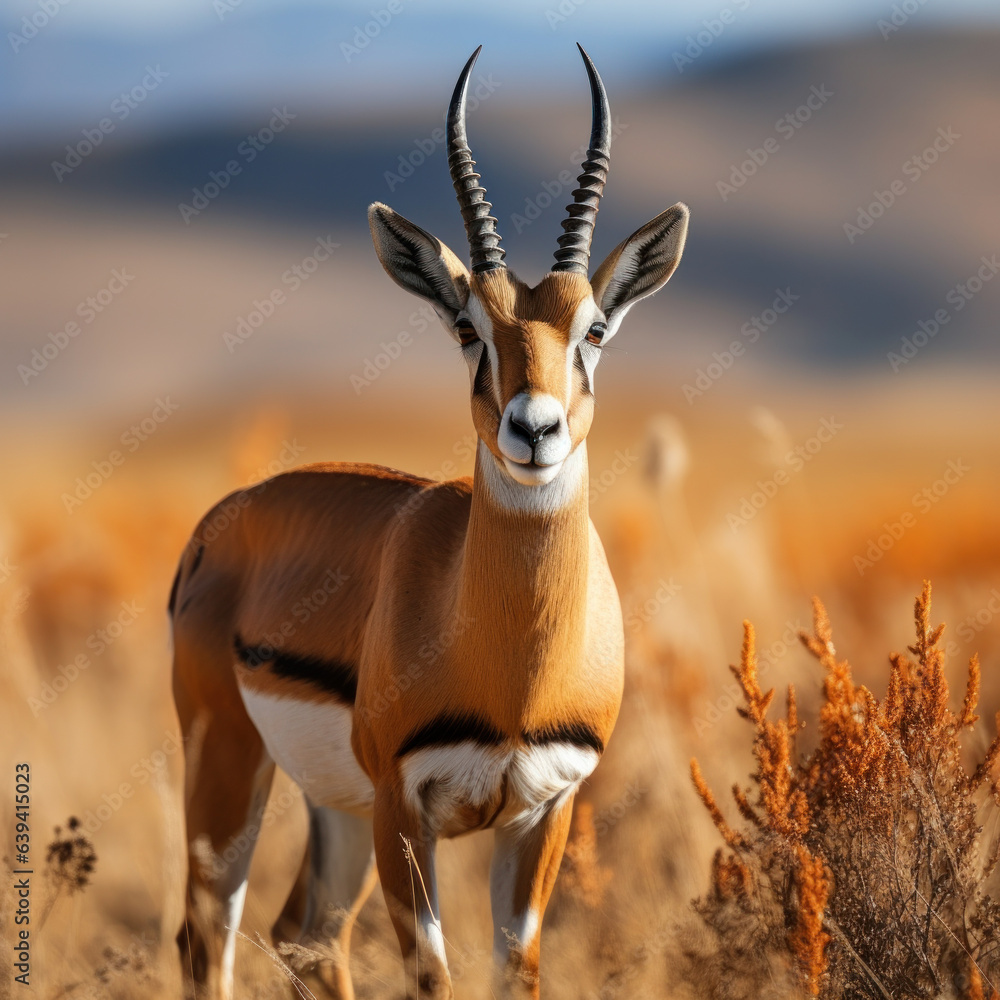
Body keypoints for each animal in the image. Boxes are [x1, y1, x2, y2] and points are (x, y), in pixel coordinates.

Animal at [171, 44, 688, 1000]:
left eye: (594, 329)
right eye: (466, 327)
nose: (533, 428)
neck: (508, 673)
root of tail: (227, 518)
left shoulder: (544, 813)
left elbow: (516, 971)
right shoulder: (404, 806)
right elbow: (434, 978)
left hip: (333, 808)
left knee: (304, 934)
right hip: (229, 768)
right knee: (207, 937)